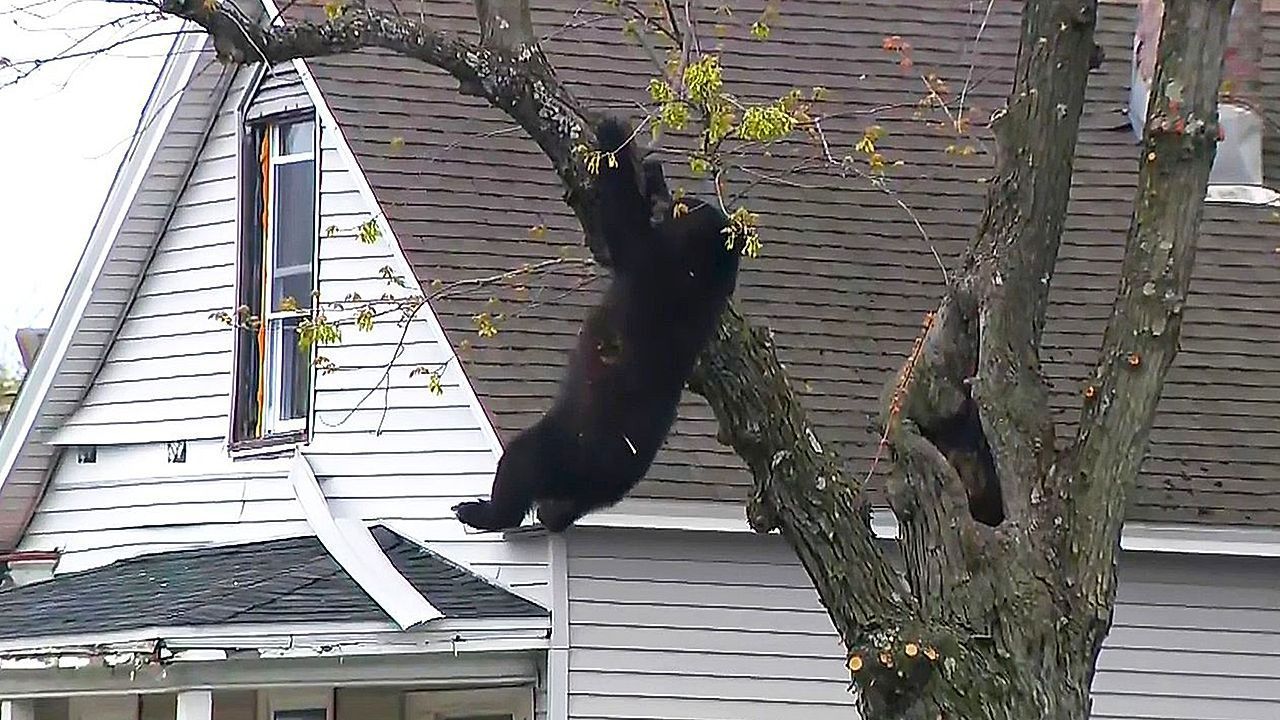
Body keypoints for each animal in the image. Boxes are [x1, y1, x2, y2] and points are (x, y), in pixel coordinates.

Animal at [453, 115, 743, 533]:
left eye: (688, 206)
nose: (678, 200)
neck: (701, 274)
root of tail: (605, 476)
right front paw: (651, 173)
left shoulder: (653, 267)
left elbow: (622, 226)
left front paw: (614, 134)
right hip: (595, 487)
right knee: (564, 507)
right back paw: (550, 514)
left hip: (564, 445)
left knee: (520, 465)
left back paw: (480, 511)